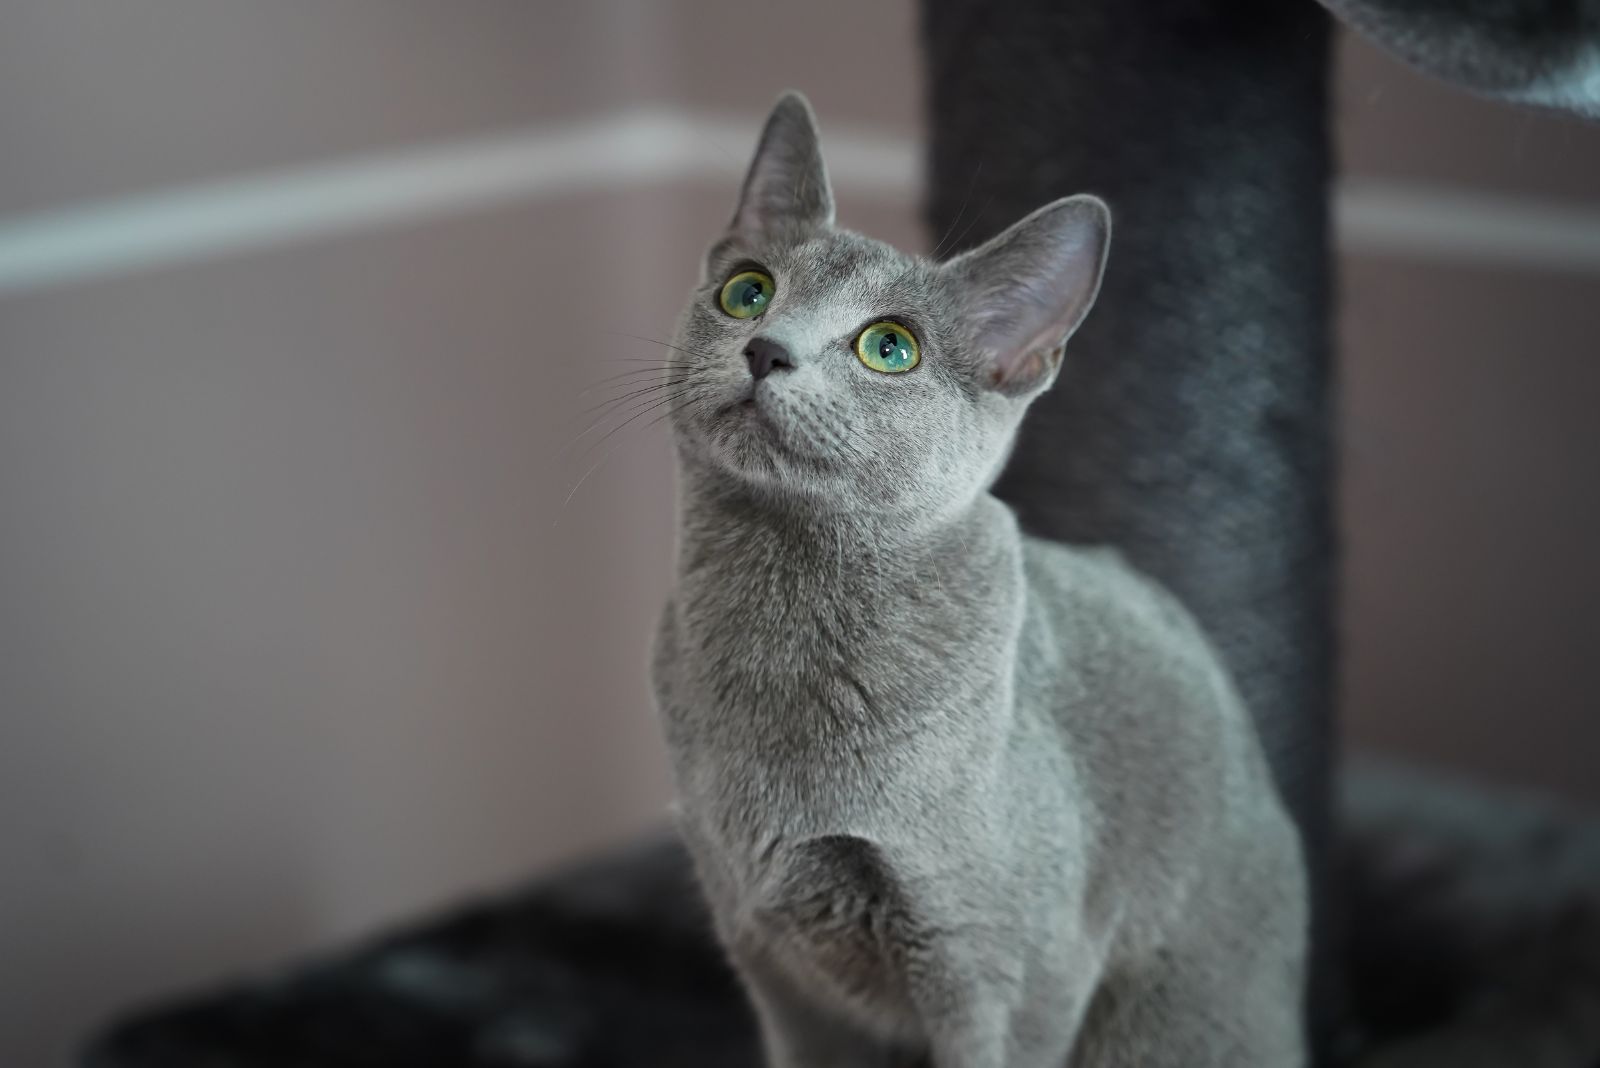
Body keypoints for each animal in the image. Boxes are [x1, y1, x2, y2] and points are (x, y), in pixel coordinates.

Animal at [649, 93, 1312, 1068]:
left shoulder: (1005, 970)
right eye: (748, 291)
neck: (780, 613)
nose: (766, 349)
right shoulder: (772, 960)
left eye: (890, 348)